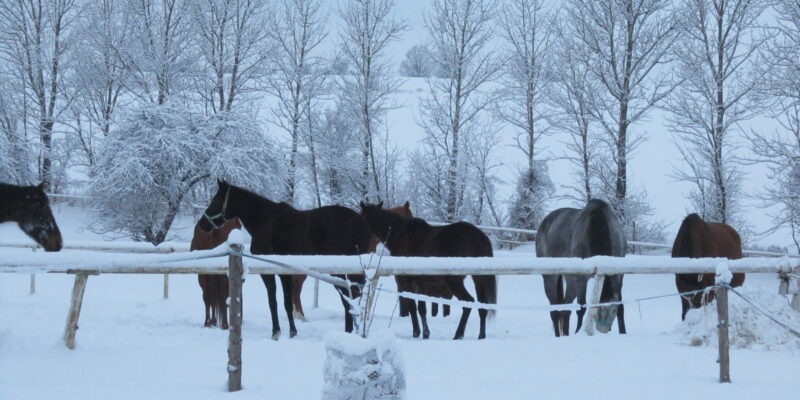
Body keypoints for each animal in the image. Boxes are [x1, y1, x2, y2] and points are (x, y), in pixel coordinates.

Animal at [198, 180, 368, 339]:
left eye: (215, 200)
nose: (202, 224)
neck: (263, 219)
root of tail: (358, 222)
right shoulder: (285, 270)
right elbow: (287, 302)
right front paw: (293, 332)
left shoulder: (269, 272)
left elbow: (273, 301)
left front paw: (276, 332)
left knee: (348, 300)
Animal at [360, 202, 497, 340]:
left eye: (362, 217)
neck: (400, 234)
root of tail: (478, 236)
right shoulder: (420, 281)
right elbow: (422, 308)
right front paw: (425, 333)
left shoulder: (406, 280)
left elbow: (412, 306)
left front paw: (416, 332)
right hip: (478, 278)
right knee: (482, 307)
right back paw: (481, 336)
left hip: (454, 281)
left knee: (468, 302)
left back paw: (458, 334)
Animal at [536, 199, 626, 337]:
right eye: (600, 307)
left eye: (613, 311)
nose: (603, 330)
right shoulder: (581, 279)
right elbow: (581, 309)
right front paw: (578, 332)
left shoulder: (619, 275)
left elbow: (621, 307)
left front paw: (623, 332)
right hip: (551, 278)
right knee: (555, 311)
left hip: (570, 282)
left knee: (565, 309)